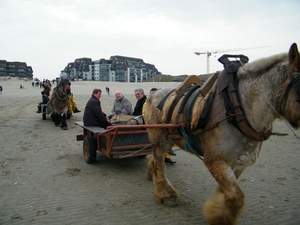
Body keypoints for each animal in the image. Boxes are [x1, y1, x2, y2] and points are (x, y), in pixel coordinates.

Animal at [145, 42, 300, 225]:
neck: (236, 108)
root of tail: (154, 92)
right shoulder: (215, 161)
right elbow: (236, 197)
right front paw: (218, 216)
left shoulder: (239, 163)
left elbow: (227, 193)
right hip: (158, 139)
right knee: (159, 164)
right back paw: (165, 194)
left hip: (169, 138)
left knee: (155, 162)